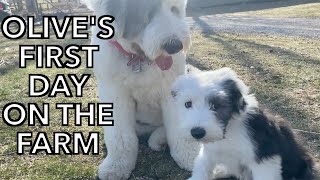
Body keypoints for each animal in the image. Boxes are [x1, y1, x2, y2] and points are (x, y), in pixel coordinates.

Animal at [82, 0, 199, 179]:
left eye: (174, 9)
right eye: (148, 13)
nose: (175, 46)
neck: (139, 59)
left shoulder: (172, 89)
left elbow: (180, 127)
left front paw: (190, 157)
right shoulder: (115, 94)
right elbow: (120, 136)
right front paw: (117, 166)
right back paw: (159, 139)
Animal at [170, 68, 316, 180]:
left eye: (216, 105)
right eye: (188, 104)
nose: (197, 132)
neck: (229, 130)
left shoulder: (265, 159)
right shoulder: (209, 152)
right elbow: (202, 168)